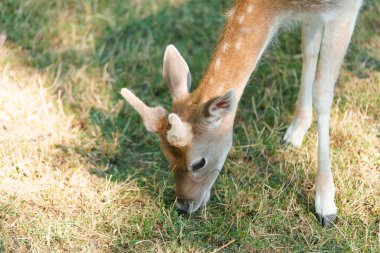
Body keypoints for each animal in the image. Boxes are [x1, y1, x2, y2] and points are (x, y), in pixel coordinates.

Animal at [120, 0, 364, 227]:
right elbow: (308, 50)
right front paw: (295, 131)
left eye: (199, 163)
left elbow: (322, 93)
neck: (283, 7)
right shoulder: (314, 12)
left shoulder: (344, 9)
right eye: (166, 156)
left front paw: (326, 206)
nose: (183, 205)